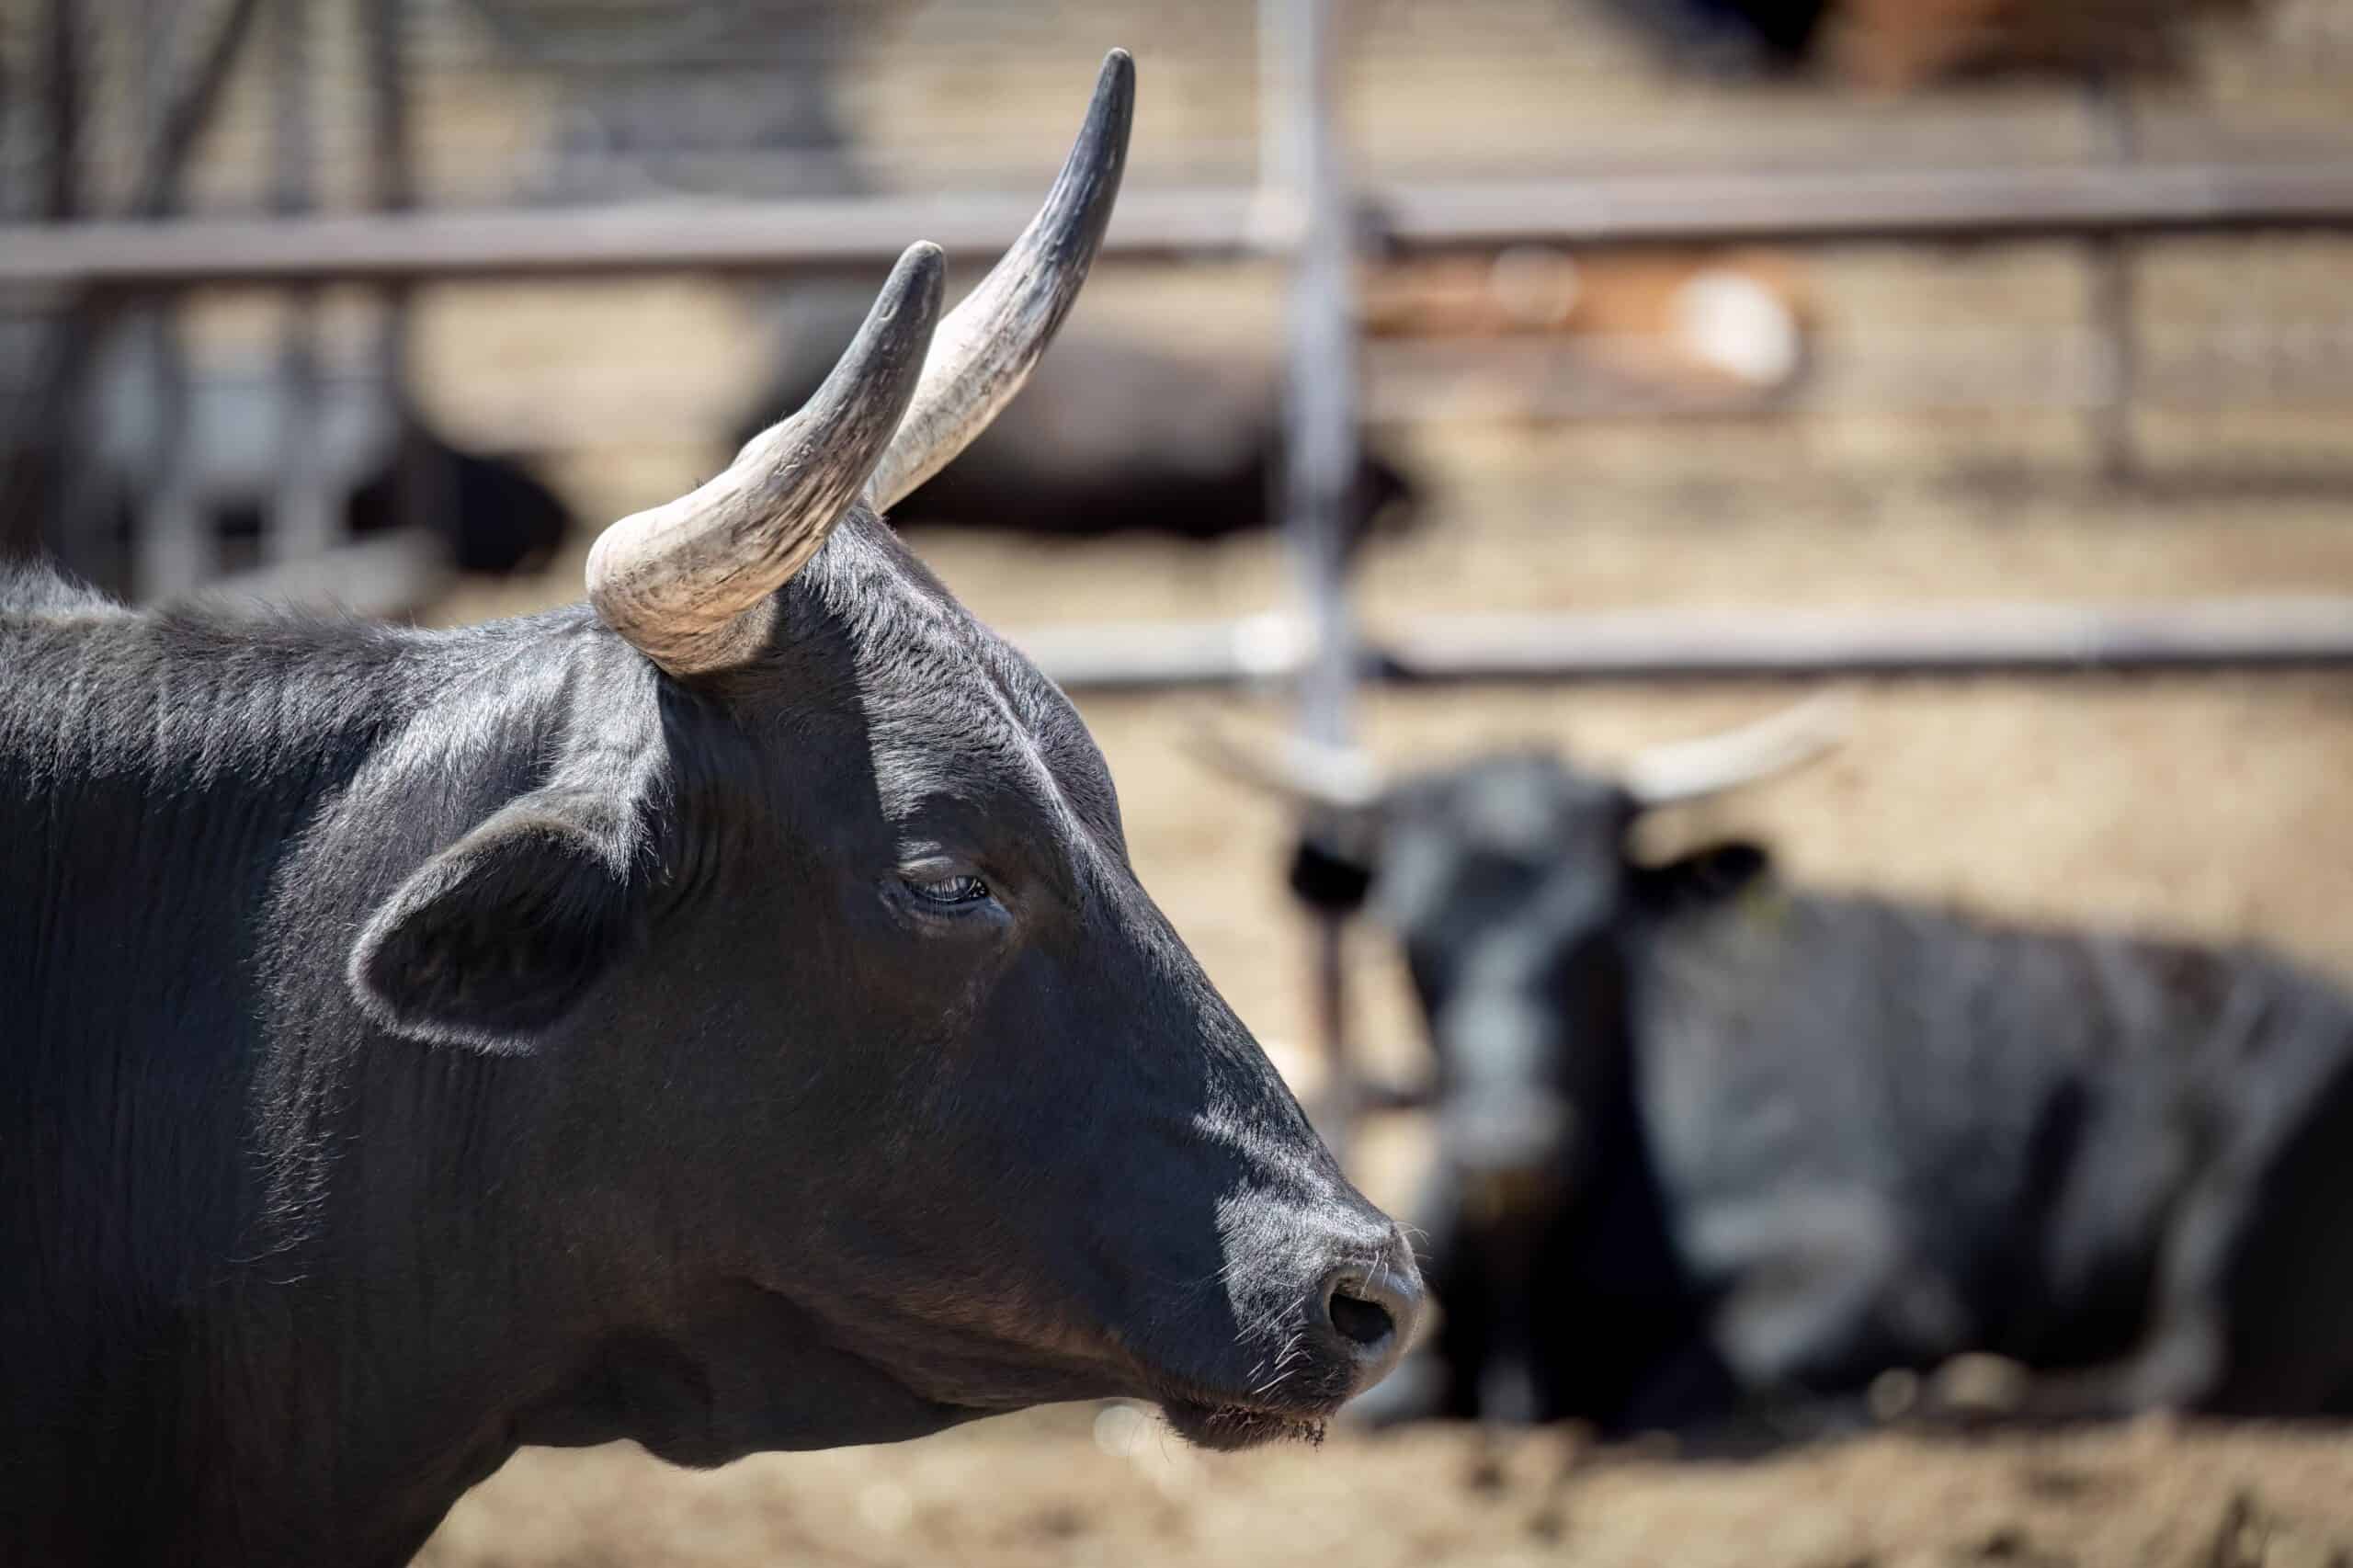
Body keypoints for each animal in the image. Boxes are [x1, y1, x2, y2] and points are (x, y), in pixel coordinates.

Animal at [1213, 701, 2353, 1431]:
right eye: (1410, 938)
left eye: (1603, 936)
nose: (1507, 1146)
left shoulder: (1877, 1273)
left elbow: (1681, 1384)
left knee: (2179, 1362)